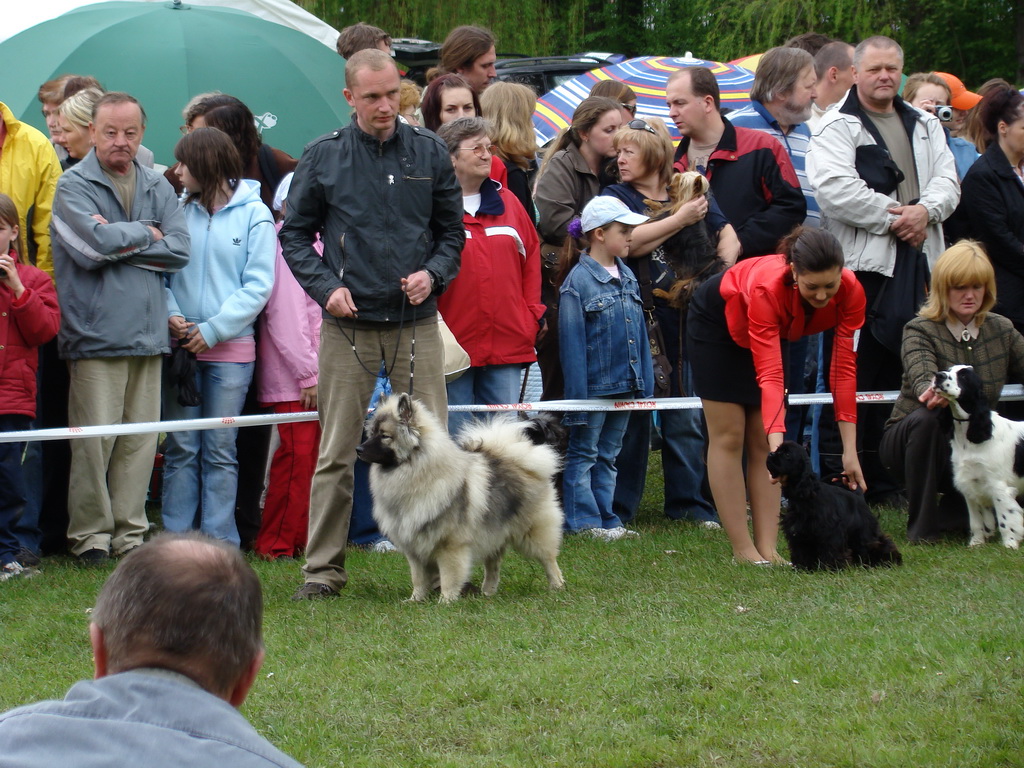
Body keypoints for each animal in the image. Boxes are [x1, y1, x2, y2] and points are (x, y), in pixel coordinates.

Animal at [356, 393, 569, 606]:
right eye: (371, 433)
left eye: (384, 436)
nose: (358, 449)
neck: (417, 473)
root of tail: (520, 460)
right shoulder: (415, 550)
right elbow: (418, 578)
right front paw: (415, 600)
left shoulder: (450, 546)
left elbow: (449, 577)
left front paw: (445, 601)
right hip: (492, 534)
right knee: (493, 567)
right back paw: (487, 593)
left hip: (532, 533)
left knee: (549, 560)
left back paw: (557, 587)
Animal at [765, 438, 901, 573]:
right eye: (777, 450)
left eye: (787, 454)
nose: (770, 454)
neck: (806, 496)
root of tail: (858, 495)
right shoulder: (798, 533)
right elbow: (801, 551)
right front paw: (803, 567)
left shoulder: (830, 532)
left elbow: (832, 550)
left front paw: (832, 568)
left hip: (865, 532)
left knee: (880, 543)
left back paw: (889, 560)